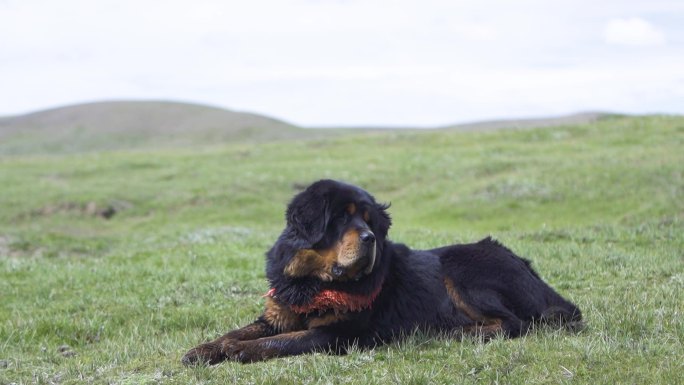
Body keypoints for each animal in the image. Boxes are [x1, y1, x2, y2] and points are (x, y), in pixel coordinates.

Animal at [179, 178, 580, 364]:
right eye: (342, 218)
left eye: (369, 220)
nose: (369, 238)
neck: (312, 282)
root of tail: (532, 273)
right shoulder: (279, 313)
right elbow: (239, 330)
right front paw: (204, 350)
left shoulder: (340, 332)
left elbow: (282, 341)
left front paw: (238, 350)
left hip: (460, 266)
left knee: (513, 323)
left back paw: (456, 333)